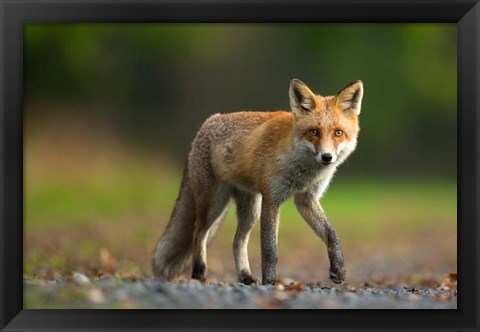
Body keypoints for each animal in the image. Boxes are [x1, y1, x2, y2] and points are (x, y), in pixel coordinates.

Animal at [154, 79, 364, 284]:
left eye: (338, 133)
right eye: (314, 132)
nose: (327, 157)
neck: (302, 169)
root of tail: (207, 122)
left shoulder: (306, 199)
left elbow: (332, 235)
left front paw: (339, 269)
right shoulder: (271, 199)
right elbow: (270, 250)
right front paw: (270, 282)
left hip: (250, 210)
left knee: (237, 240)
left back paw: (244, 275)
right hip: (213, 204)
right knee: (198, 232)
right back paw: (199, 272)